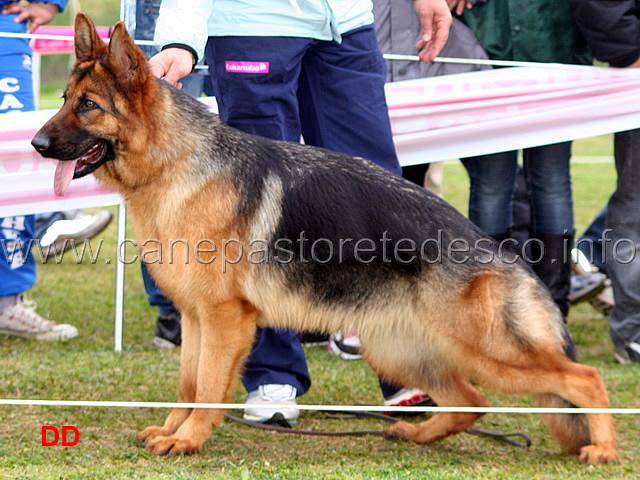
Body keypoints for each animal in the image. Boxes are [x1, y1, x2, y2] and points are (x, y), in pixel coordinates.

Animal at [32, 14, 616, 464]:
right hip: (402, 350)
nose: (35, 143)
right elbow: (188, 384)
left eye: (88, 106)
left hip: (489, 351)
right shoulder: (196, 318)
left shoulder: (223, 320)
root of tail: (504, 256)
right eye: (63, 99)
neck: (174, 164)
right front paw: (175, 431)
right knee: (471, 401)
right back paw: (416, 434)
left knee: (583, 377)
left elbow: (209, 387)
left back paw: (603, 449)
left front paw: (191, 439)